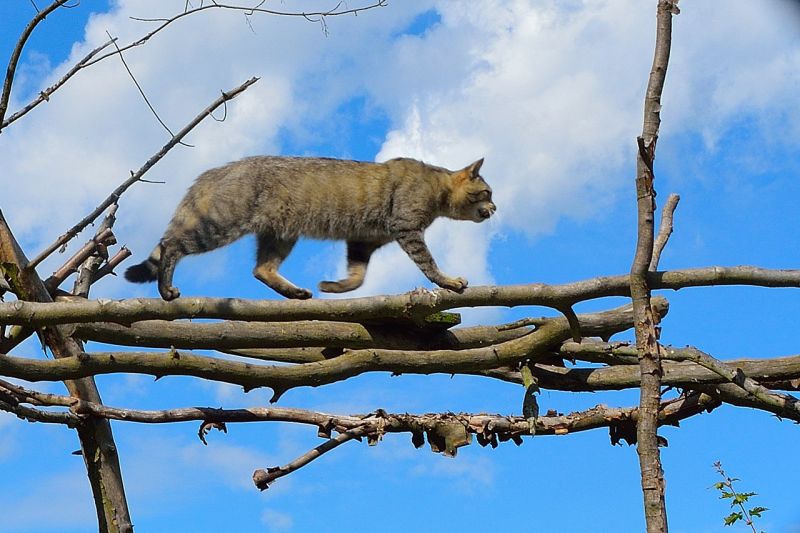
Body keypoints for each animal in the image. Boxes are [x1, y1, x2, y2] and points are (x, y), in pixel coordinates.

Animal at [124, 157, 494, 300]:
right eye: (488, 193)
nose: (496, 208)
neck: (436, 187)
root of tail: (218, 169)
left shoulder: (363, 241)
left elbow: (358, 276)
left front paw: (335, 286)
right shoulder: (406, 229)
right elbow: (428, 264)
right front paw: (448, 280)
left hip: (280, 235)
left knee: (261, 269)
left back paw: (295, 292)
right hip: (218, 226)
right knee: (172, 245)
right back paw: (166, 289)